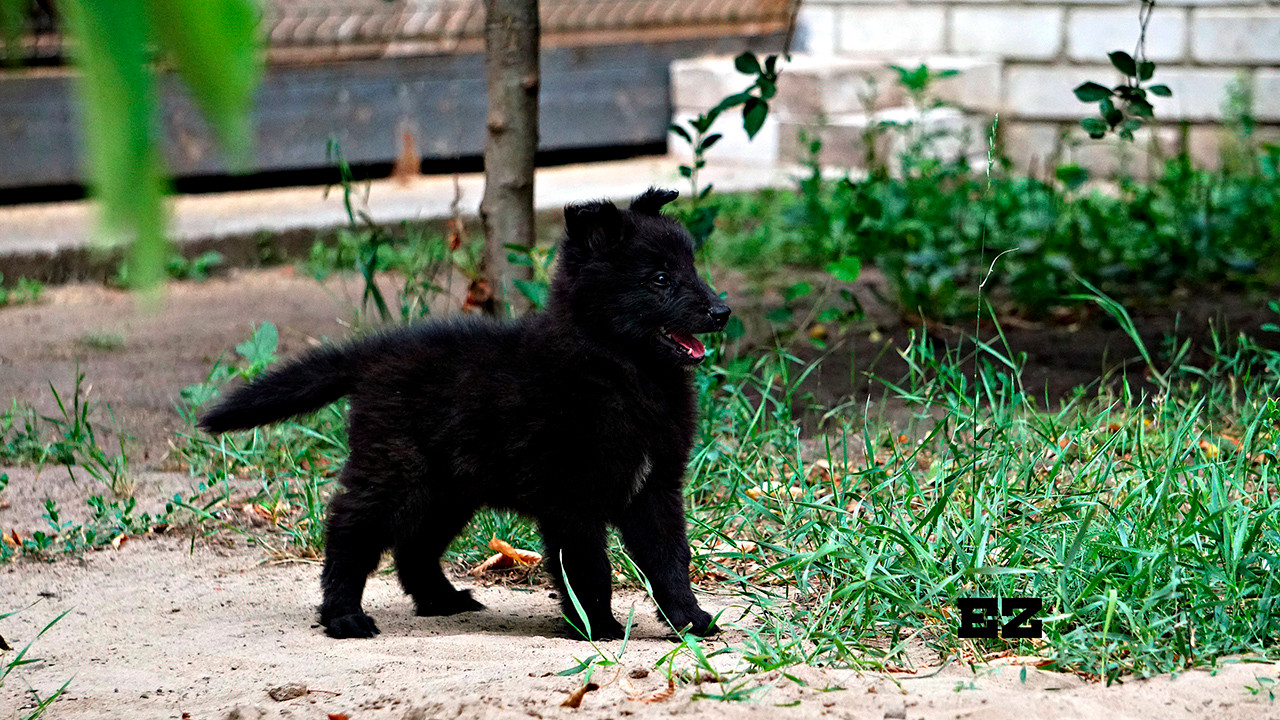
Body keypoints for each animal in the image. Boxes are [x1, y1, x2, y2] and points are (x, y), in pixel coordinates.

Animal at [199, 188, 732, 635]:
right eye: (660, 279)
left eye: (692, 269)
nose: (722, 312)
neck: (617, 368)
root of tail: (374, 352)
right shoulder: (571, 498)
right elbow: (588, 568)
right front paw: (597, 627)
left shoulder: (656, 487)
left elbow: (669, 558)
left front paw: (689, 620)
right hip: (396, 472)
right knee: (351, 531)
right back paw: (344, 616)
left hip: (448, 487)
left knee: (413, 545)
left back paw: (441, 600)